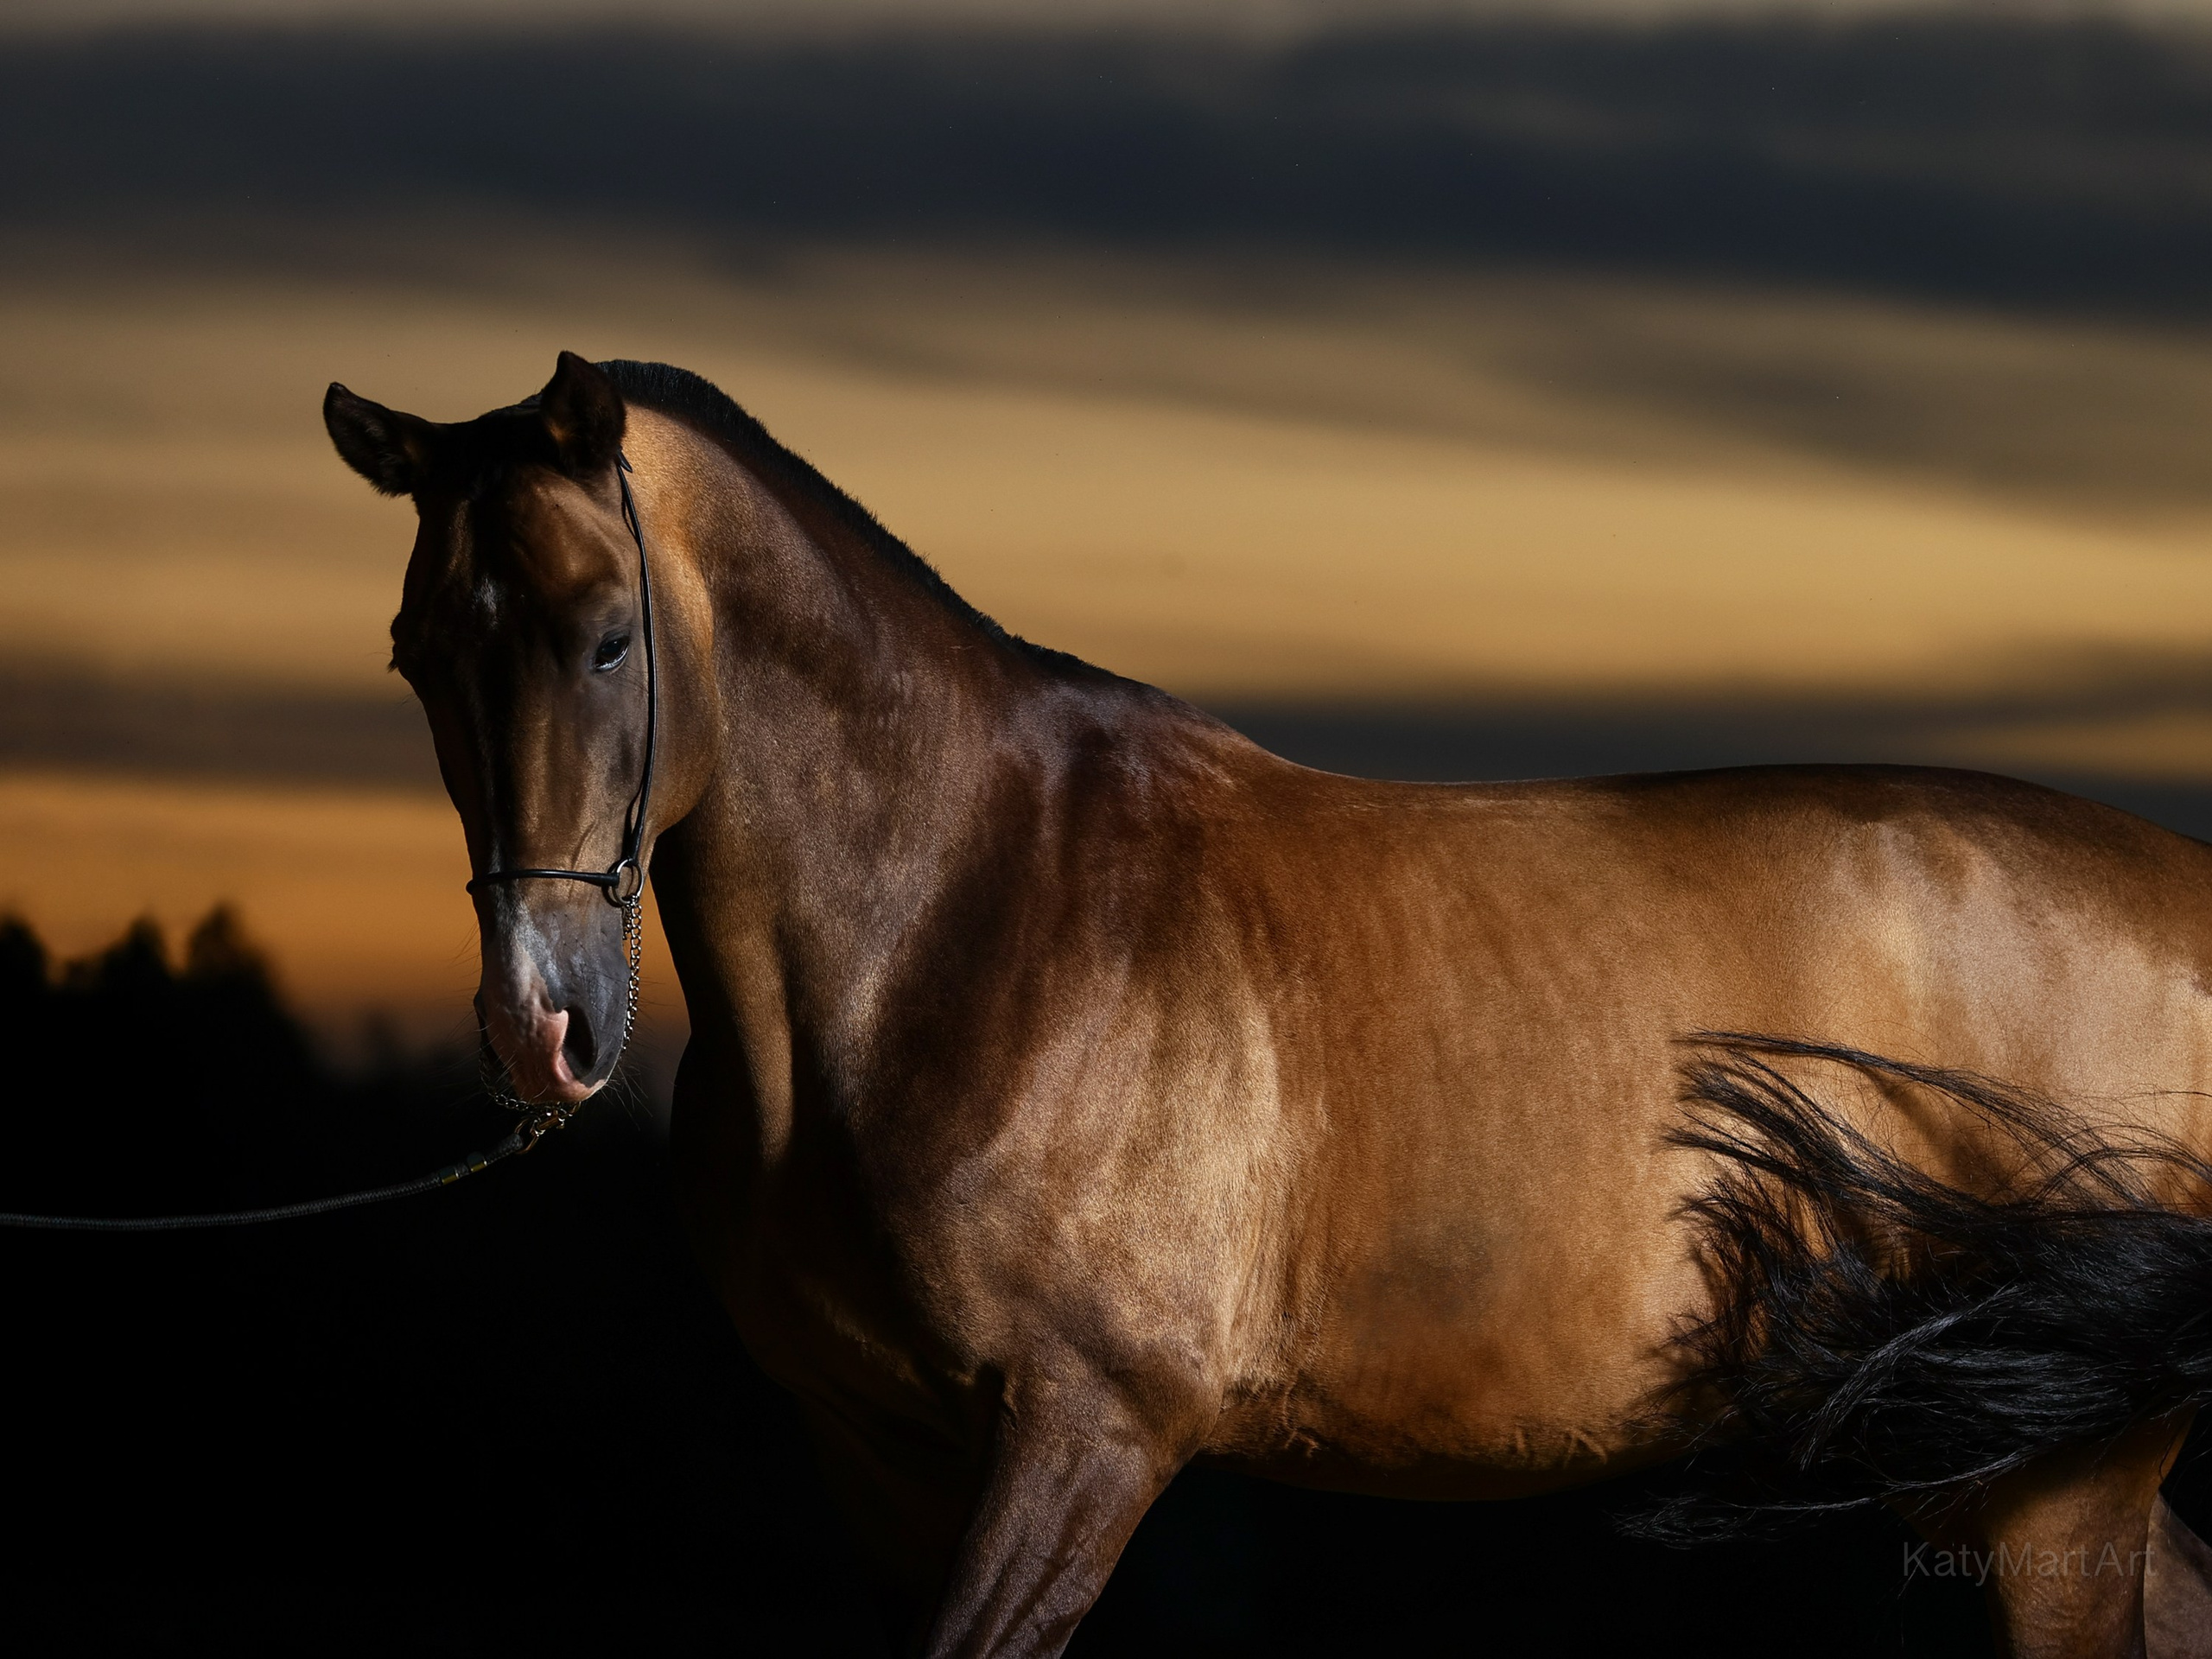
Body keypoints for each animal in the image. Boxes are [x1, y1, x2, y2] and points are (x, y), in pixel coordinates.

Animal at [325, 351, 2212, 1657]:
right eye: (417, 653)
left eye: (605, 637)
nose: (539, 1027)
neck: (963, 913)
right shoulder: (884, 1457)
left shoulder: (1086, 1435)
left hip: (2055, 1489)